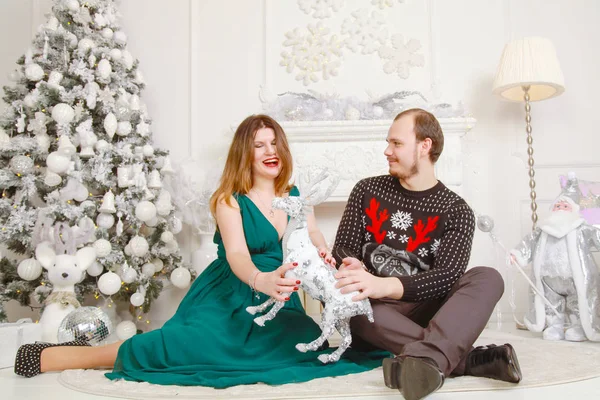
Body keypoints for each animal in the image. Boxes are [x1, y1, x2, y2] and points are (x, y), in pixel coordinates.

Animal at [246, 167, 372, 364]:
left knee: (327, 331)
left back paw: (304, 347)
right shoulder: (282, 278)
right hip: (343, 317)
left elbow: (279, 304)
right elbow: (272, 296)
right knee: (347, 339)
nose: (274, 200)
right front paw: (253, 309)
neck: (296, 245)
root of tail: (365, 307)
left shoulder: (292, 281)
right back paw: (328, 357)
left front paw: (261, 320)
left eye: (289, 200)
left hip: (331, 311)